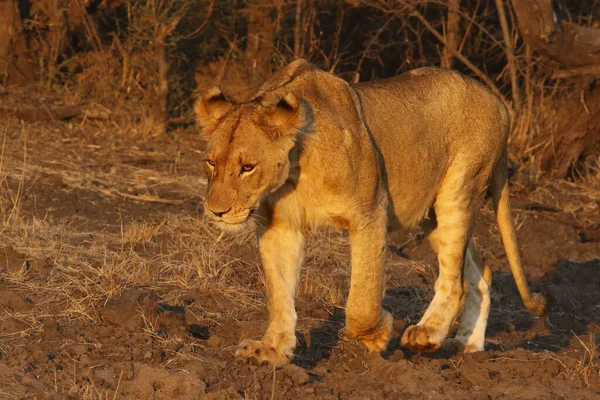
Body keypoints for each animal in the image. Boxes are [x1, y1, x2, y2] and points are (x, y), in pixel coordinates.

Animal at [195, 58, 548, 366]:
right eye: (211, 162)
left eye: (247, 167)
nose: (216, 211)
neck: (295, 169)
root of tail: (496, 99)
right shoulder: (279, 224)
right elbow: (279, 293)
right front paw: (271, 350)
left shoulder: (369, 212)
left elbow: (361, 300)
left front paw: (376, 337)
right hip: (432, 212)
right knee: (480, 273)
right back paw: (467, 345)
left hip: (459, 189)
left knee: (455, 278)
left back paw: (426, 334)